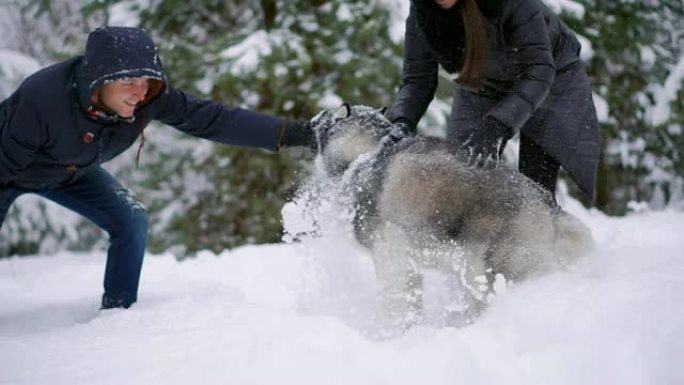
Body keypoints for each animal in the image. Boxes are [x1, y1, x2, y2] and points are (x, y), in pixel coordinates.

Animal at [308, 103, 592, 328]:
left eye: (325, 117)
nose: (312, 119)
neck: (368, 153)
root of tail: (548, 205)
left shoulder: (389, 251)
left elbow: (394, 302)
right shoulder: (409, 263)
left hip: (499, 267)